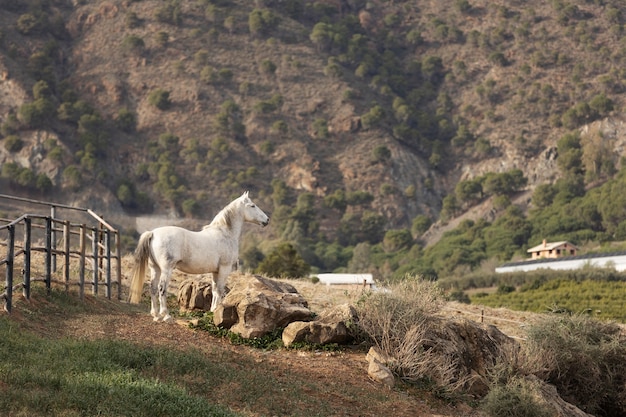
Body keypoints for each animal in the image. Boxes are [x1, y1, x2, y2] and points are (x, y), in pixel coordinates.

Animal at [128, 192, 270, 322]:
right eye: (252, 205)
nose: (267, 220)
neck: (225, 233)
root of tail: (153, 233)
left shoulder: (215, 271)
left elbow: (214, 290)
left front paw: (213, 310)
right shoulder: (224, 269)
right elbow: (220, 290)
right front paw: (216, 311)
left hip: (155, 268)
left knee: (152, 288)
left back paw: (156, 315)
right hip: (166, 270)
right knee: (161, 289)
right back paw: (166, 315)